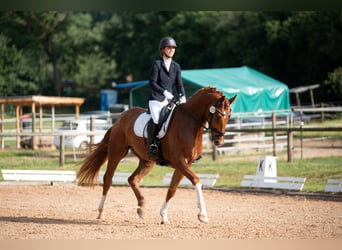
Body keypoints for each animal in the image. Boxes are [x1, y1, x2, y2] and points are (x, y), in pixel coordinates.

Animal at [76, 87, 236, 224]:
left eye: (229, 116)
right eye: (218, 115)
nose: (219, 141)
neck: (190, 122)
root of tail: (120, 119)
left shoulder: (185, 163)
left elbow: (172, 189)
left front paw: (163, 216)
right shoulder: (179, 161)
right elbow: (196, 181)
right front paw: (202, 215)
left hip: (147, 161)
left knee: (133, 179)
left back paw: (141, 207)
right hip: (117, 151)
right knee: (108, 179)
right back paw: (101, 211)